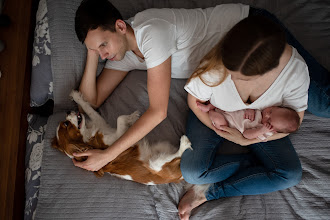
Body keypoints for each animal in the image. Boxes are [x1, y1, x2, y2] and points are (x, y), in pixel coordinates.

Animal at [51, 90, 193, 185]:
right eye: (66, 124)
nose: (67, 111)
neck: (87, 137)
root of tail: (178, 177)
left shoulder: (101, 123)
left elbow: (89, 109)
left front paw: (76, 96)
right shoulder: (117, 138)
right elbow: (120, 119)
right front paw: (132, 118)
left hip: (161, 146)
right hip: (156, 164)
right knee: (174, 157)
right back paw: (184, 144)